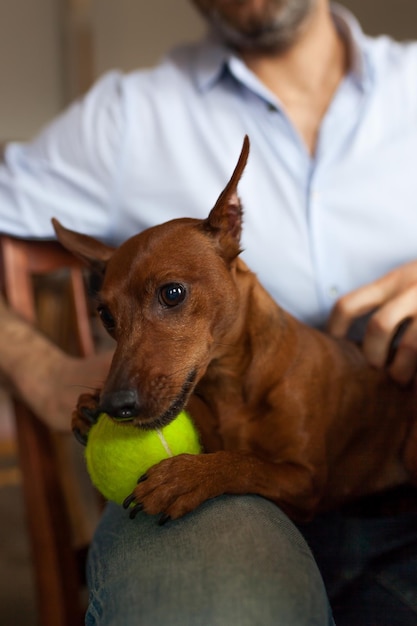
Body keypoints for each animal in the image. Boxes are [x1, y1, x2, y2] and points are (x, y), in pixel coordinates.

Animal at [52, 136, 416, 520]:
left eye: (172, 293)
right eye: (105, 315)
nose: (114, 404)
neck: (230, 386)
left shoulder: (307, 481)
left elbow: (247, 463)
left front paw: (190, 475)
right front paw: (86, 405)